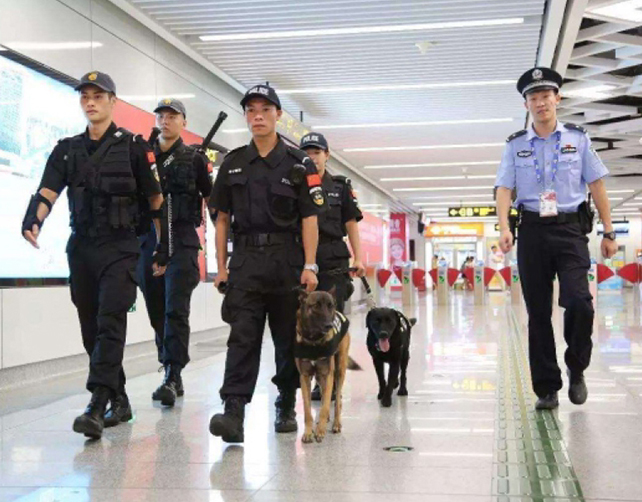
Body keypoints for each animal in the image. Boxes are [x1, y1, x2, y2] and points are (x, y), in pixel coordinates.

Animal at [295, 287, 351, 443]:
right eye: (316, 306)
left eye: (330, 305)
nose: (329, 325)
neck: (314, 340)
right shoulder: (304, 377)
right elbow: (307, 410)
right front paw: (308, 432)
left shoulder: (328, 374)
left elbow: (326, 405)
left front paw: (320, 431)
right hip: (320, 377)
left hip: (339, 371)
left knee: (337, 400)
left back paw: (336, 423)